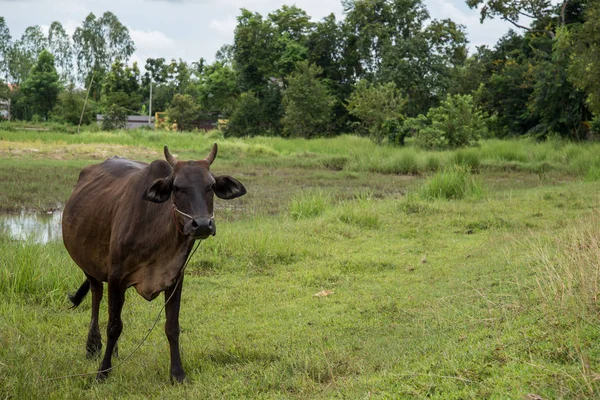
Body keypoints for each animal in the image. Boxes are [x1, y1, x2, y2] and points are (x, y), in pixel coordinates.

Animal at [62, 144, 245, 382]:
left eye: (211, 186)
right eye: (177, 187)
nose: (202, 224)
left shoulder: (175, 278)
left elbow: (172, 326)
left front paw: (177, 373)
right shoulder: (116, 277)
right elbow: (114, 326)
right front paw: (103, 371)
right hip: (90, 267)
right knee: (96, 295)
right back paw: (93, 346)